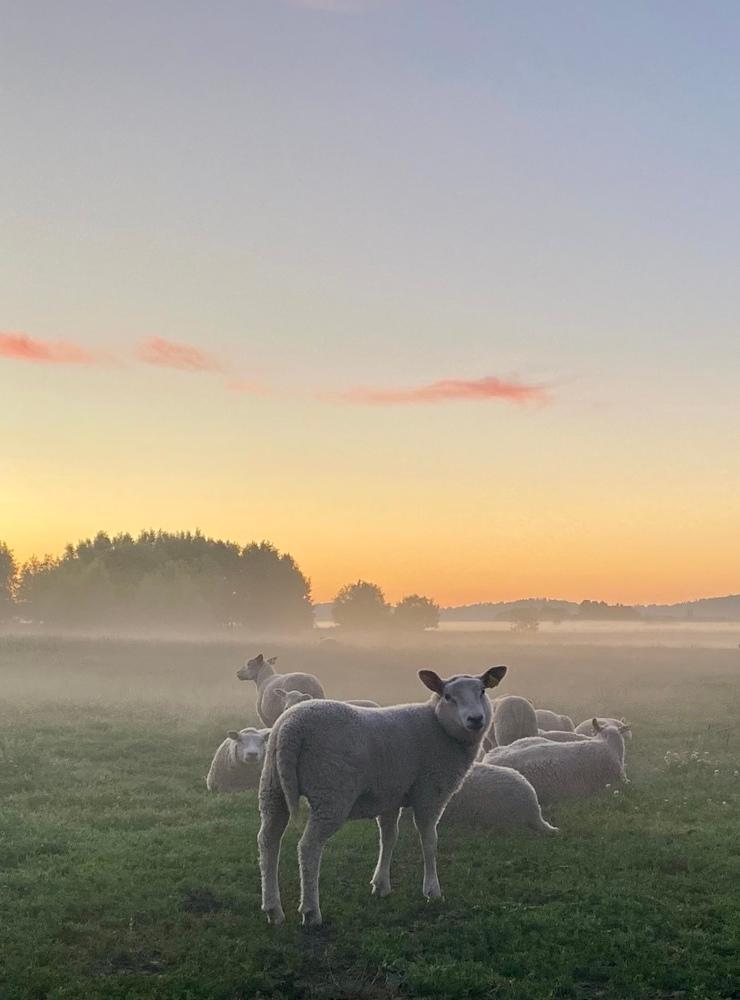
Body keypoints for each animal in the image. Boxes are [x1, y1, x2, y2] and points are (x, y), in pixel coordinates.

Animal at [258, 664, 506, 928]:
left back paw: (273, 910)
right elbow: (429, 840)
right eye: (448, 696)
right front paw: (432, 891)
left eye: (482, 691)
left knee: (268, 841)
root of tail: (291, 728)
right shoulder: (430, 791)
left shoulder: (390, 795)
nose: (475, 719)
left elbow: (388, 838)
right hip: (331, 794)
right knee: (308, 847)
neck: (439, 728)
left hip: (273, 788)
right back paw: (311, 912)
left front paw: (380, 885)